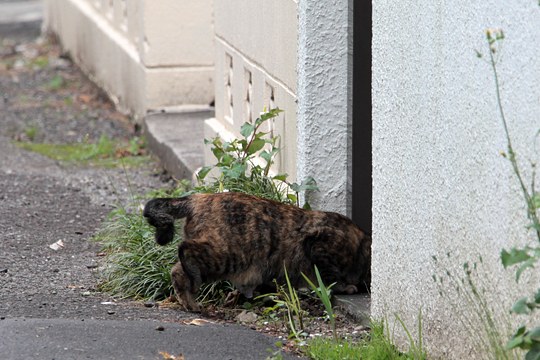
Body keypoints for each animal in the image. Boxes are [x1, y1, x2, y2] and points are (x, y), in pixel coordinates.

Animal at [143, 191, 372, 312]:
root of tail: (199, 197)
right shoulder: (318, 243)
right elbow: (329, 277)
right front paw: (344, 286)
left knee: (177, 271)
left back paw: (189, 302)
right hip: (227, 254)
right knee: (186, 252)